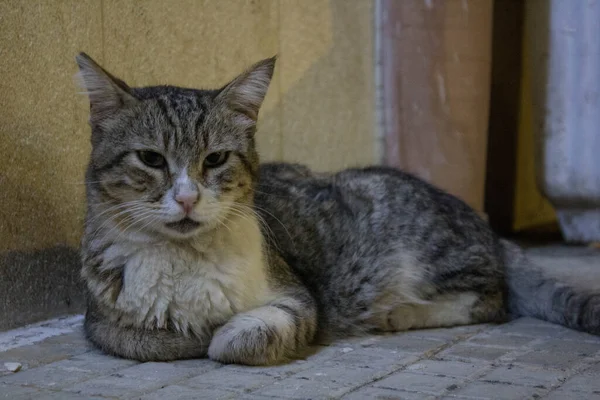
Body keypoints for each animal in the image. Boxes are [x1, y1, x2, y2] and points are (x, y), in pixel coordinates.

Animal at [77, 52, 596, 366]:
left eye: (216, 159)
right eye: (151, 159)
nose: (187, 197)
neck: (185, 261)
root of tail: (489, 228)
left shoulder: (299, 298)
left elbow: (242, 339)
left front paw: (222, 335)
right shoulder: (101, 322)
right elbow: (146, 341)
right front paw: (193, 333)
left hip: (423, 249)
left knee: (493, 301)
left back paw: (402, 313)